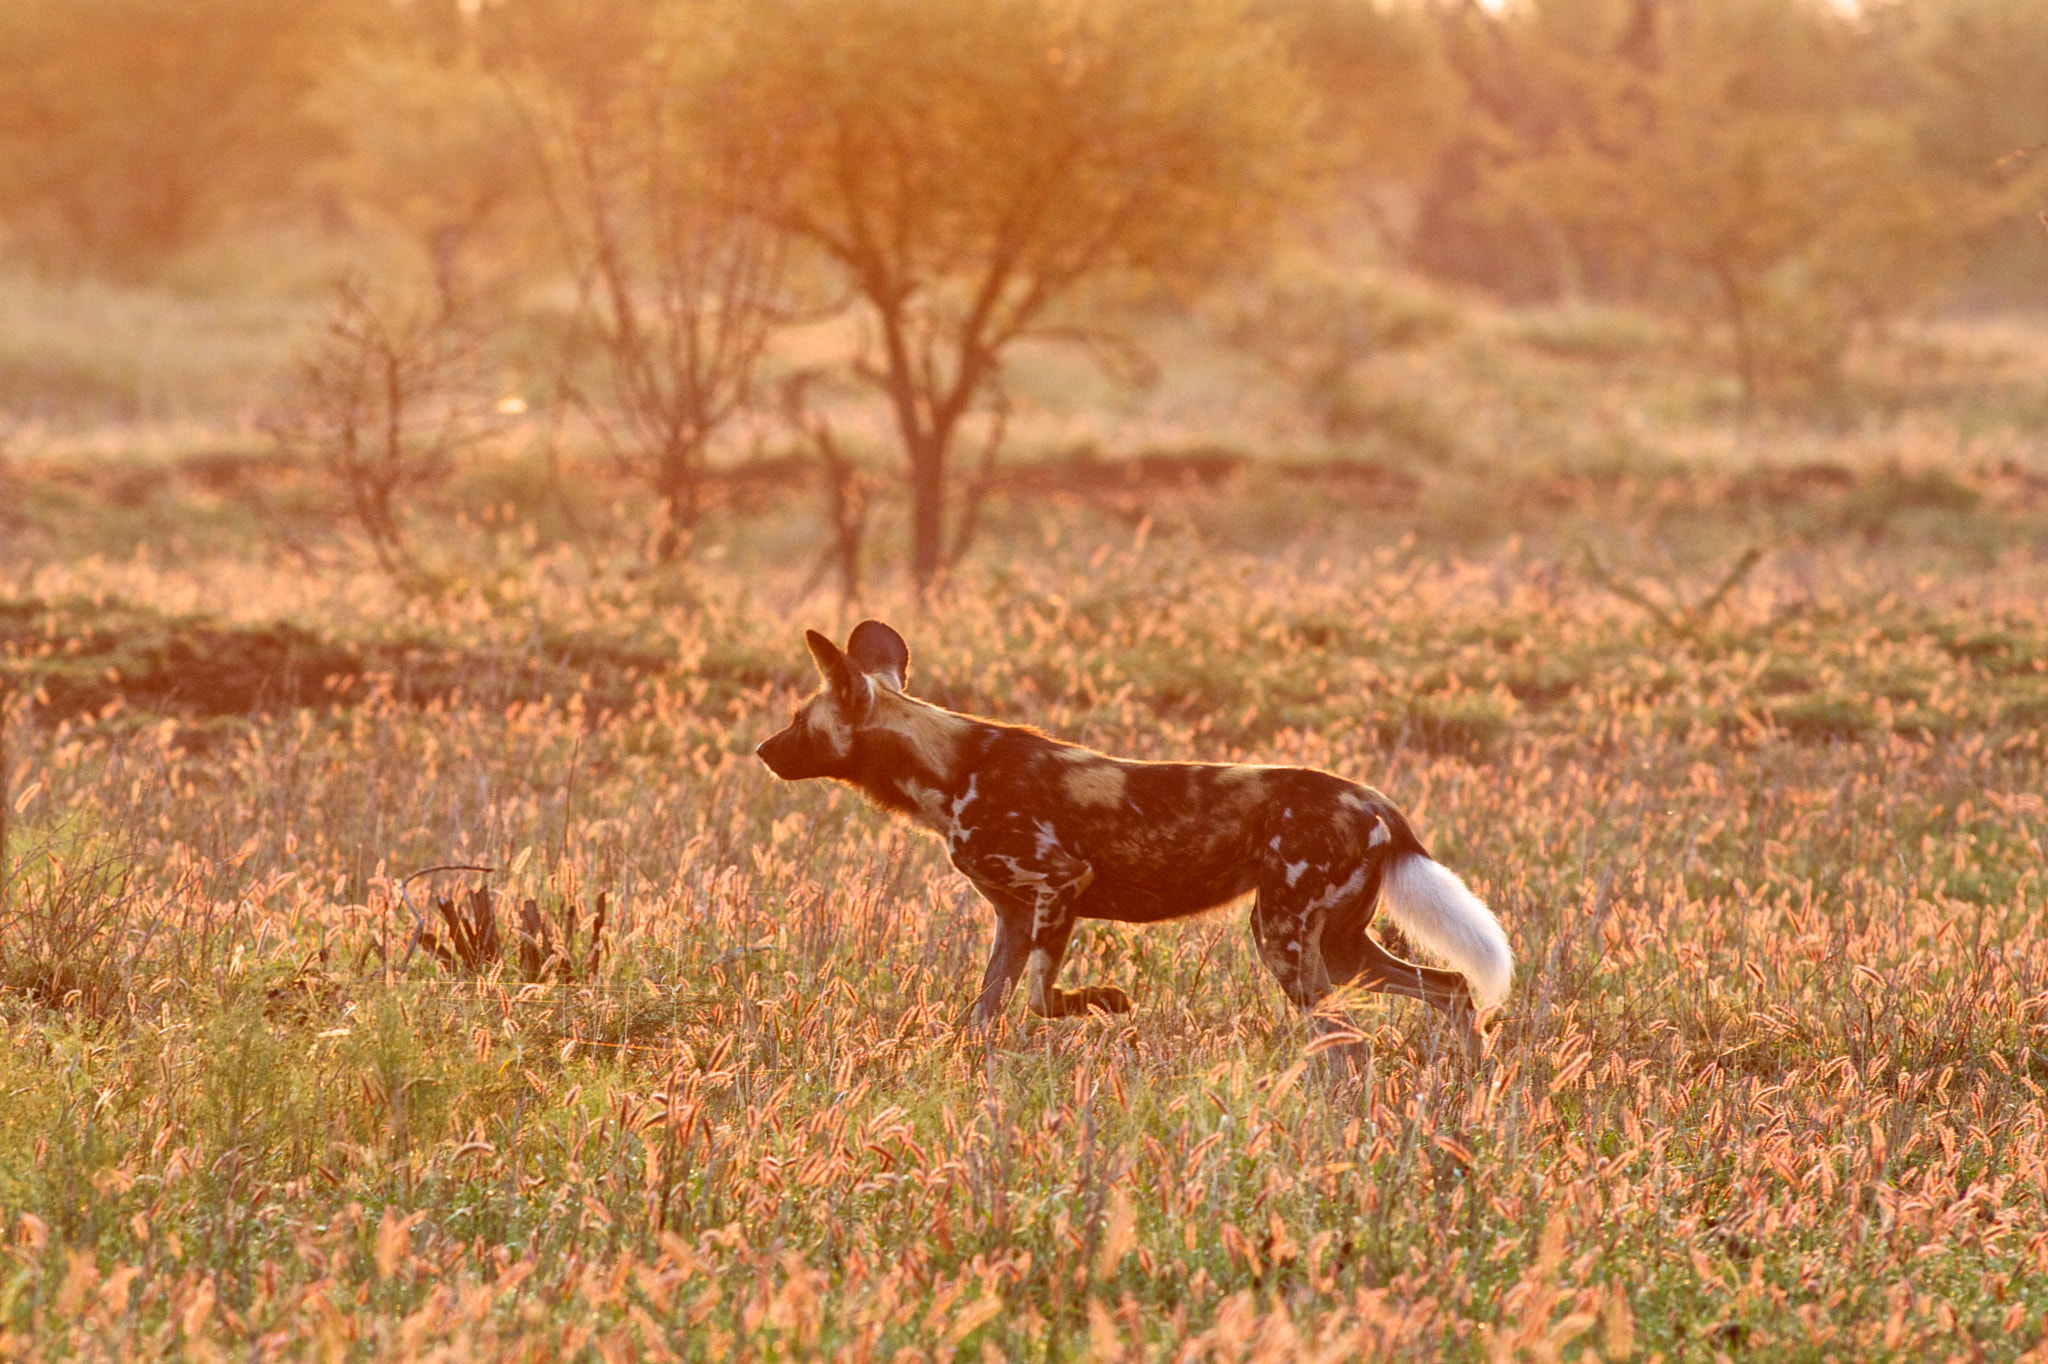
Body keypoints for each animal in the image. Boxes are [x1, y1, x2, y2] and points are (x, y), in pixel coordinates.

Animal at [756, 620, 1512, 1038]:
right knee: (1451, 991)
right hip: (1342, 947)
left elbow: (1041, 999)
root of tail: (1373, 799)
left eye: (796, 721)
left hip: (1284, 939)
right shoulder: (1014, 917)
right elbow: (986, 1011)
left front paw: (1103, 1001)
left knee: (1347, 1040)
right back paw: (1465, 1095)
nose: (762, 750)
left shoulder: (1061, 883)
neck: (944, 764)